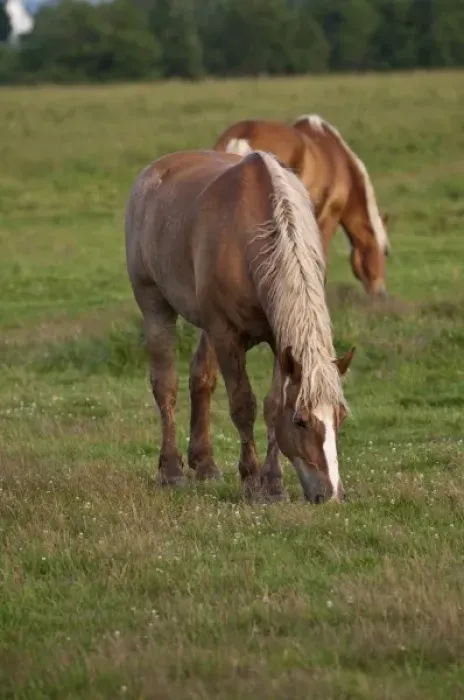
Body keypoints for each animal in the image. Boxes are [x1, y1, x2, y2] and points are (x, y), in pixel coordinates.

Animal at [125, 149, 355, 503]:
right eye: (301, 421)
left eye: (340, 417)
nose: (330, 495)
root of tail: (153, 172)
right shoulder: (227, 335)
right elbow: (242, 405)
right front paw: (251, 480)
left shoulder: (279, 341)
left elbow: (272, 405)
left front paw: (273, 484)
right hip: (155, 306)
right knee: (165, 385)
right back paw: (172, 471)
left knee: (200, 379)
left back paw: (205, 465)